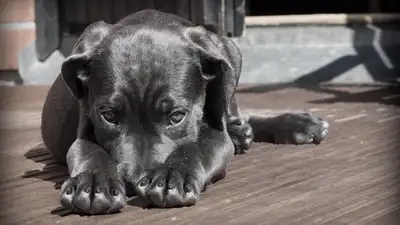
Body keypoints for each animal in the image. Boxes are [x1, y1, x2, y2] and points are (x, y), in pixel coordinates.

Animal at [40, 10, 328, 214]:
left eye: (177, 116)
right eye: (108, 116)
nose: (133, 183)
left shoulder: (215, 134)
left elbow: (197, 148)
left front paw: (171, 176)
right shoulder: (84, 131)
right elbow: (89, 152)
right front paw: (92, 183)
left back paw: (294, 124)